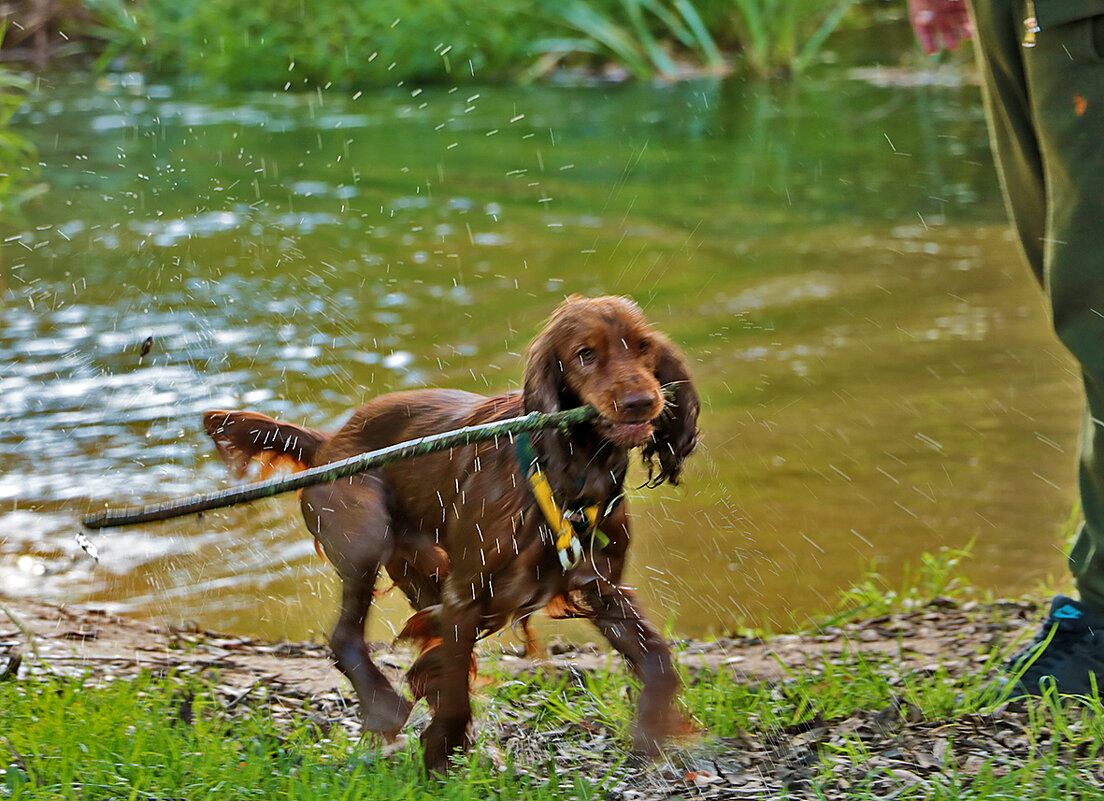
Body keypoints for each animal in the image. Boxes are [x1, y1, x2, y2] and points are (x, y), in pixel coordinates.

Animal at [203, 295, 697, 772]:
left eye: (643, 346)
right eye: (585, 353)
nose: (641, 402)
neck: (571, 472)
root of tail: (326, 444)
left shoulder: (598, 582)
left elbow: (659, 660)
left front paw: (651, 730)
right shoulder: (466, 594)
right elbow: (457, 691)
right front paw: (439, 755)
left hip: (421, 566)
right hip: (366, 536)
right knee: (345, 637)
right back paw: (384, 708)